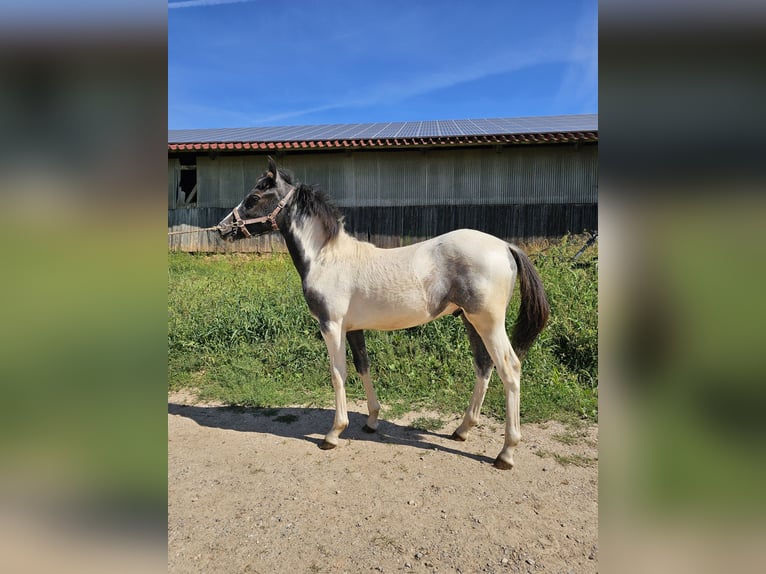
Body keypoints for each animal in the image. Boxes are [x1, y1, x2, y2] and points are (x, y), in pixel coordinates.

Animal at [217, 157, 549, 469]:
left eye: (253, 198)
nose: (222, 229)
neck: (327, 258)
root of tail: (505, 246)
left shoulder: (331, 327)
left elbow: (338, 374)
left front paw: (333, 434)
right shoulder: (353, 329)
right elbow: (363, 367)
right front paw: (371, 421)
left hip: (488, 323)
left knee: (510, 368)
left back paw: (506, 453)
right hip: (471, 321)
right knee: (483, 366)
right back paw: (462, 430)